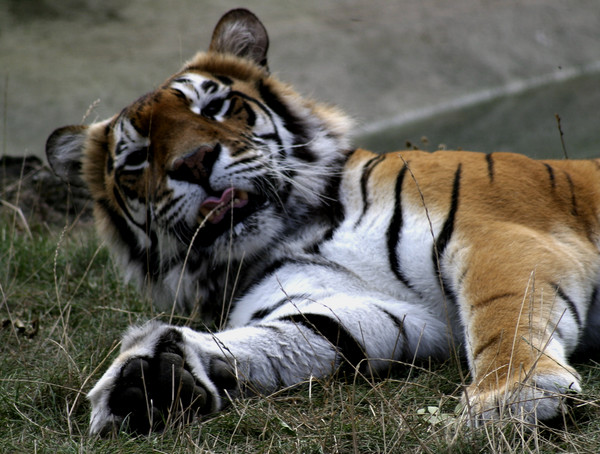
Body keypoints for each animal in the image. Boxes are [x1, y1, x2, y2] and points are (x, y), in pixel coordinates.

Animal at [44, 6, 600, 432]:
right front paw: (145, 381)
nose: (194, 162)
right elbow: (299, 334)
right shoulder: (379, 307)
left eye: (216, 106)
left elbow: (503, 311)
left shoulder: (494, 231)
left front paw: (513, 396)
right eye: (136, 158)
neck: (293, 232)